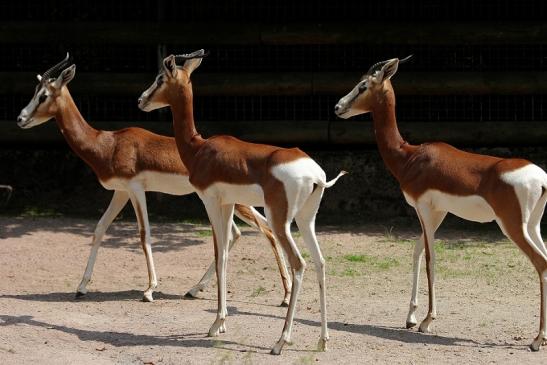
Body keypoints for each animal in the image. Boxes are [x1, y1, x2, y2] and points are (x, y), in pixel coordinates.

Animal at [15, 54, 294, 304]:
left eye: (43, 95)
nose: (20, 119)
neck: (108, 144)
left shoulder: (136, 189)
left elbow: (143, 233)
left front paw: (149, 290)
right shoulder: (120, 192)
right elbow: (99, 229)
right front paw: (81, 287)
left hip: (233, 202)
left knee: (262, 230)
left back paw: (283, 294)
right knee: (245, 232)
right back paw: (196, 290)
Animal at [139, 50, 344, 352]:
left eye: (159, 78)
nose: (141, 100)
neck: (199, 148)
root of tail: (317, 175)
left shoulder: (211, 202)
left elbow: (219, 254)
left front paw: (216, 324)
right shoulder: (227, 204)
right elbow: (225, 252)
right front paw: (221, 322)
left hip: (280, 221)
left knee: (299, 263)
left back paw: (281, 341)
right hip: (306, 219)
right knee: (320, 262)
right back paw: (323, 340)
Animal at [334, 56, 547, 350]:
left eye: (363, 85)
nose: (338, 107)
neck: (410, 156)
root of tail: (540, 178)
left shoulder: (423, 209)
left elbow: (430, 258)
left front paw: (426, 321)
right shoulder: (439, 212)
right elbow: (417, 251)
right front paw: (411, 317)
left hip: (512, 226)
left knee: (541, 263)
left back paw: (536, 339)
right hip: (533, 225)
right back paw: (542, 336)